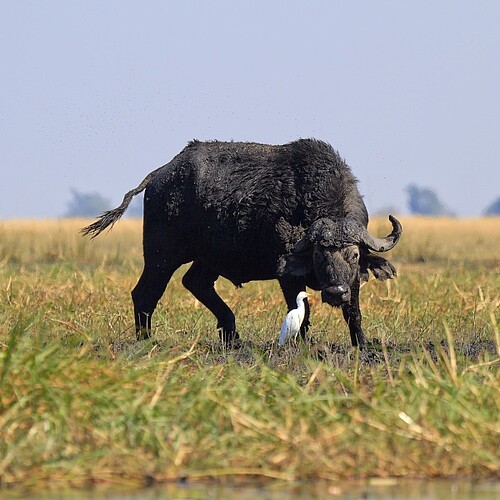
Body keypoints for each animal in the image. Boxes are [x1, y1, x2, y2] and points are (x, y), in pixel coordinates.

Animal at [83, 138, 402, 348]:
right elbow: (301, 311)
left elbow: (354, 312)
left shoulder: (353, 280)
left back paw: (232, 334)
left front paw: (362, 344)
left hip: (209, 258)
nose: (335, 292)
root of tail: (161, 174)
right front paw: (302, 344)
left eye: (353, 255)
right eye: (319, 255)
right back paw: (146, 339)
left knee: (195, 282)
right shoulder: (287, 276)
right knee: (146, 293)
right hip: (162, 255)